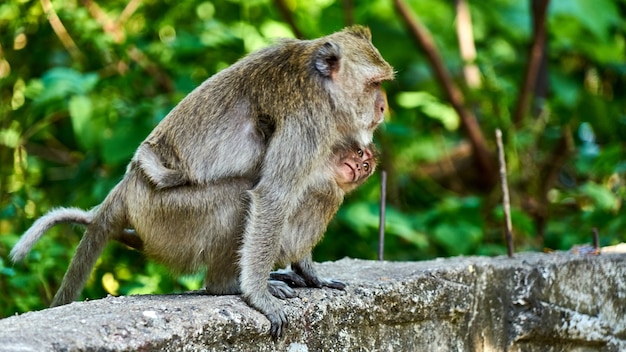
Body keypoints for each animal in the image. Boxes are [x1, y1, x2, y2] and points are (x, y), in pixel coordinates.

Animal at [11, 24, 390, 338]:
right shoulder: (310, 119)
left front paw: (310, 272)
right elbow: (273, 195)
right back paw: (228, 285)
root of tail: (127, 188)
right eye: (375, 84)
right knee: (238, 197)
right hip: (167, 215)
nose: (384, 107)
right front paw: (258, 296)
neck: (320, 82)